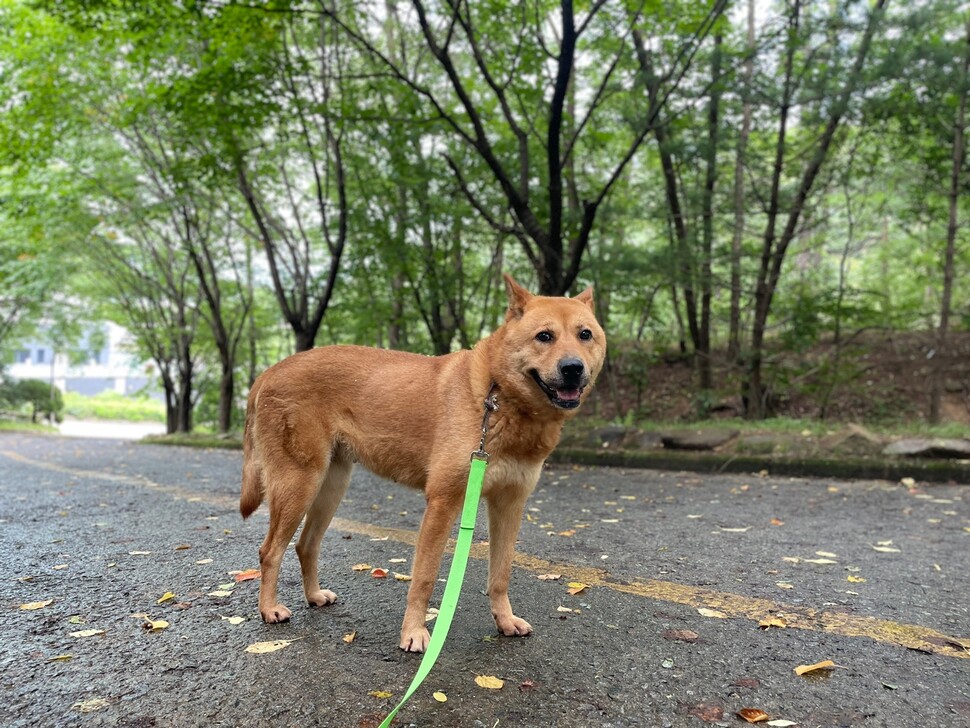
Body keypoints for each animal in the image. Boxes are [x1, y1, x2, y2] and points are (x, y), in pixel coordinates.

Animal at [240, 276, 604, 652]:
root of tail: (268, 372)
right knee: (270, 551)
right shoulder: (443, 503)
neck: (498, 398)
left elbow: (500, 574)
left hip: (330, 487)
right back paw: (269, 609)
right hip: (298, 486)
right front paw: (414, 632)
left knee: (305, 545)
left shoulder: (510, 504)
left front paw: (504, 620)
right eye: (544, 336)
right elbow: (425, 578)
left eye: (585, 334)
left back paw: (313, 596)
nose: (573, 368)